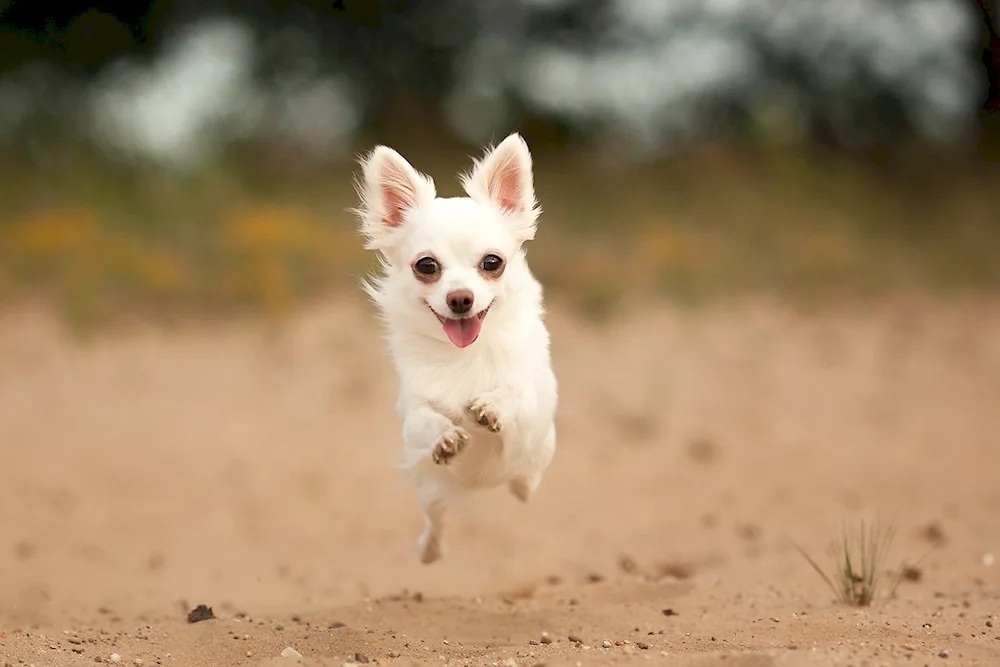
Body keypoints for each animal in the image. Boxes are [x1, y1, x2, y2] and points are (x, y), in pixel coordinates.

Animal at [354, 132, 560, 564]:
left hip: (539, 454)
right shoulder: (413, 412)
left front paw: (490, 407)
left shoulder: (529, 415)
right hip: (433, 493)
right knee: (436, 520)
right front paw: (447, 437)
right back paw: (429, 549)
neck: (465, 352)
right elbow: (427, 421)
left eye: (492, 262)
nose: (461, 298)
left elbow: (513, 396)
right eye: (427, 266)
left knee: (525, 482)